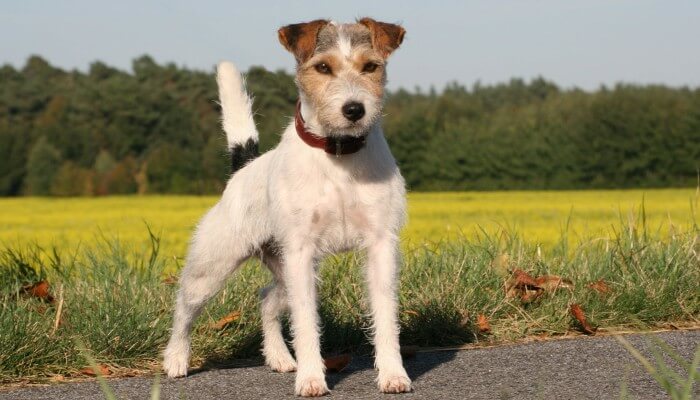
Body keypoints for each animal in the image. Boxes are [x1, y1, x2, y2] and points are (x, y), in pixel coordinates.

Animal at [161, 17, 408, 396]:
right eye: (323, 67)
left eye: (370, 66)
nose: (354, 110)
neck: (338, 155)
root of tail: (244, 166)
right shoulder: (302, 252)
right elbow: (306, 323)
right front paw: (311, 380)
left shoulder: (380, 246)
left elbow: (385, 314)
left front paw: (393, 374)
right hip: (214, 268)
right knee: (183, 309)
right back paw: (176, 360)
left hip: (285, 268)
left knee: (265, 299)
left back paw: (279, 357)